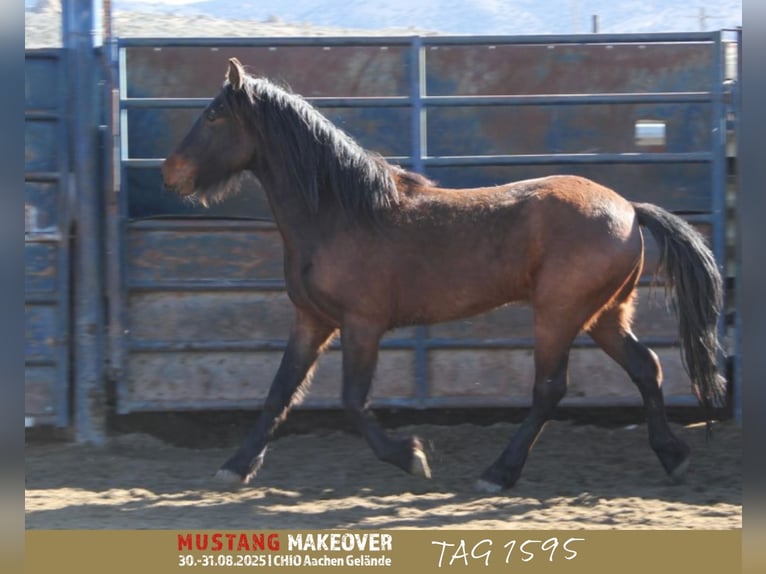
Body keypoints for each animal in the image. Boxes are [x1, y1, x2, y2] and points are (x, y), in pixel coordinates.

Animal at [162, 56, 728, 492]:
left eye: (213, 115)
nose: (171, 173)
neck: (340, 213)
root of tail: (629, 209)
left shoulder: (361, 324)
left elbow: (352, 401)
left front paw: (411, 457)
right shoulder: (312, 320)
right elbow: (279, 392)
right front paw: (236, 466)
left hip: (560, 314)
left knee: (550, 389)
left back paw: (498, 473)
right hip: (603, 314)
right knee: (645, 368)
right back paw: (673, 457)